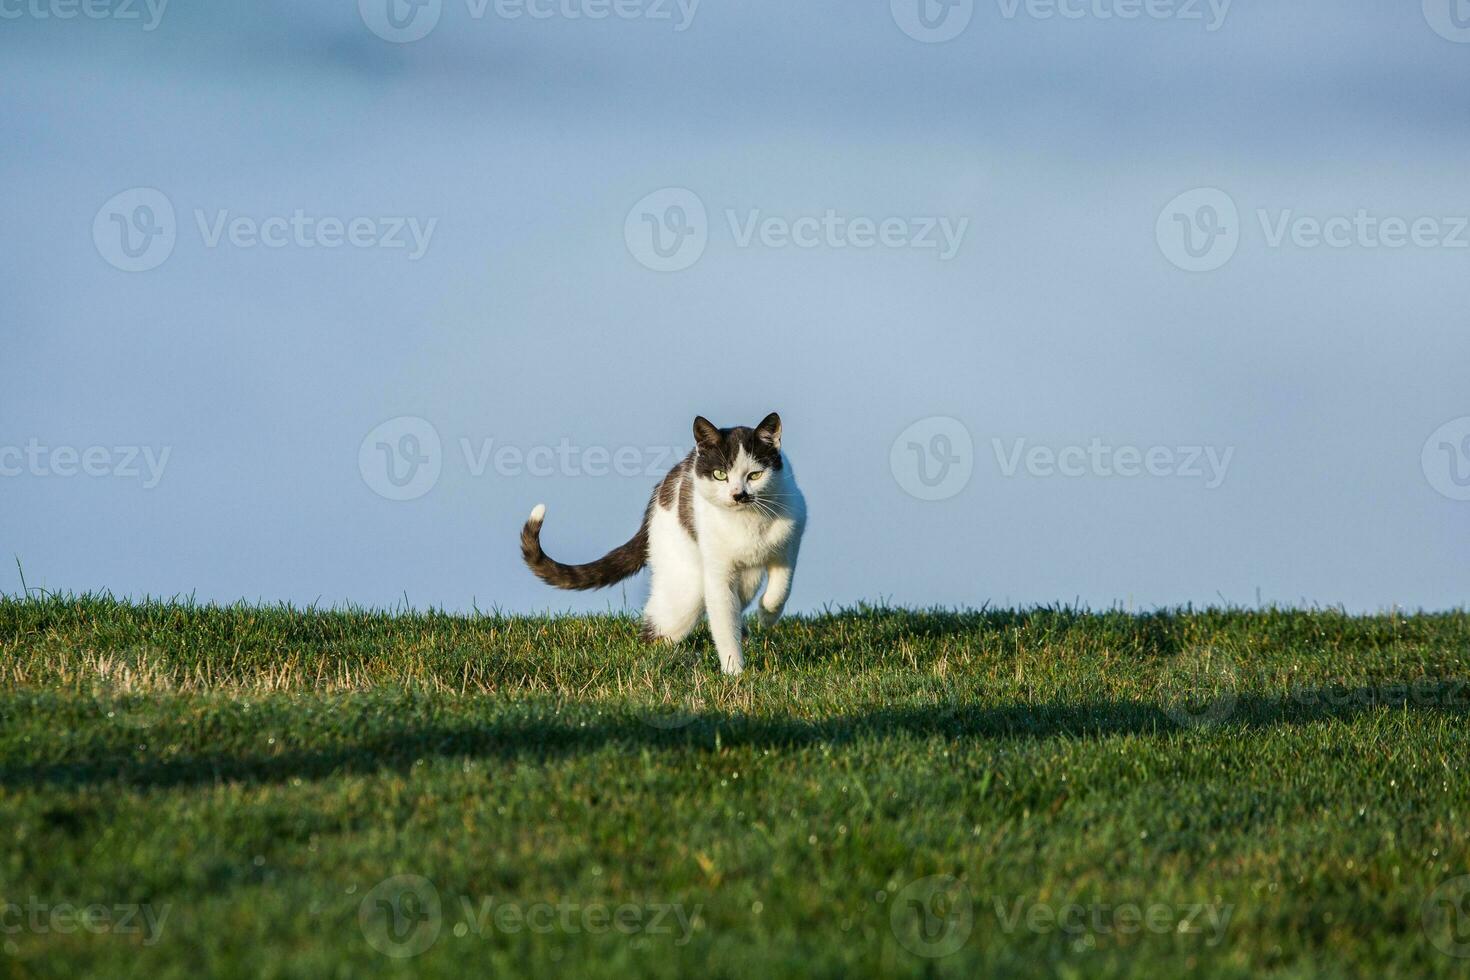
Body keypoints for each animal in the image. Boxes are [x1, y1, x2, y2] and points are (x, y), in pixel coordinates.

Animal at [523, 411, 811, 675]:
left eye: (754, 475)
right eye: (720, 475)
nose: (738, 495)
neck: (748, 523)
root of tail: (657, 494)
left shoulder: (790, 541)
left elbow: (781, 587)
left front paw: (767, 614)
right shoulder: (717, 573)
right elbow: (723, 621)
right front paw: (734, 672)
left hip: (745, 580)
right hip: (686, 587)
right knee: (657, 632)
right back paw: (673, 658)